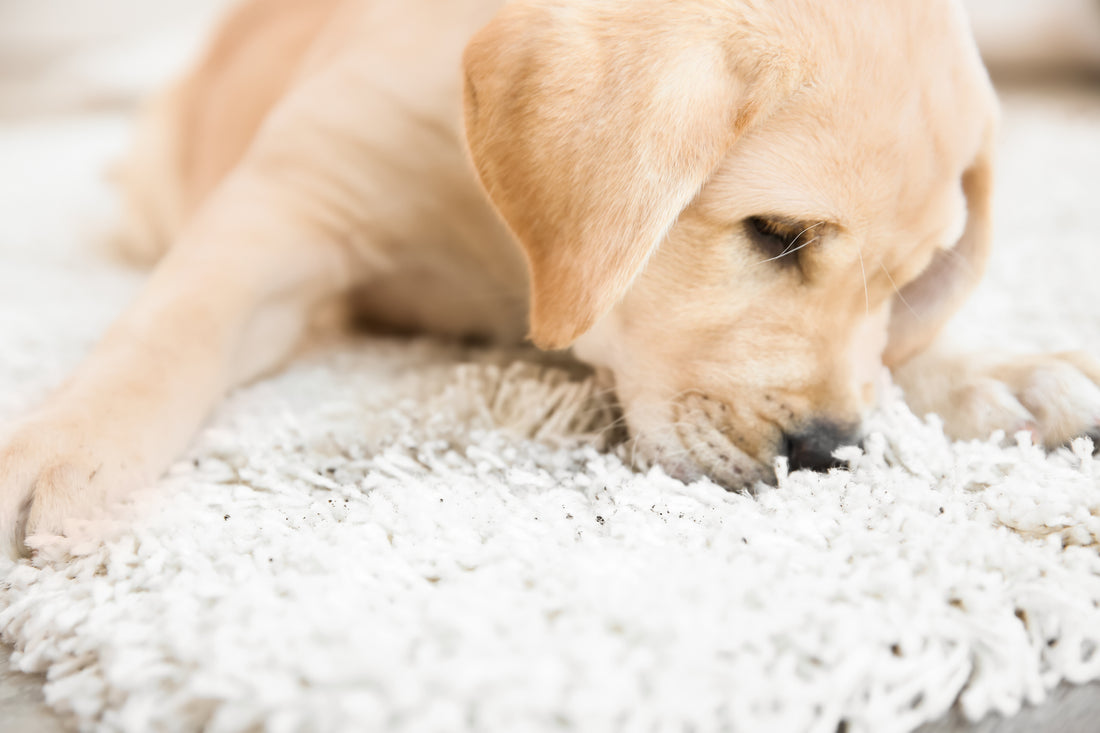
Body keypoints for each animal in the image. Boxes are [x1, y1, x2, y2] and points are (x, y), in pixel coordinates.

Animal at [2, 0, 1100, 550]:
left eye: (908, 280)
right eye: (777, 234)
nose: (829, 453)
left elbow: (900, 354)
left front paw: (999, 373)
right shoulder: (290, 208)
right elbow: (170, 328)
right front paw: (66, 445)